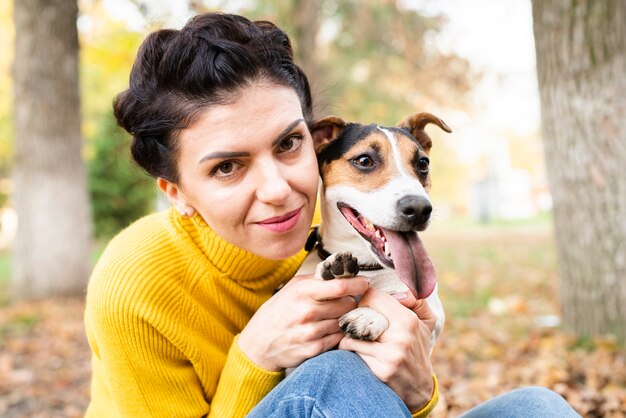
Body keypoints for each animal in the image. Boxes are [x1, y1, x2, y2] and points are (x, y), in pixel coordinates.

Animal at [298, 112, 448, 352]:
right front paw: (332, 272)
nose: (419, 209)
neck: (369, 267)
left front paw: (369, 315)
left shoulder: (434, 317)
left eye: (422, 163)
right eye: (364, 161)